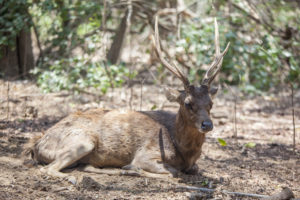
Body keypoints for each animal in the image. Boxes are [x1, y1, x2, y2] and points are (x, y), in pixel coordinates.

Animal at [24, 16, 230, 184]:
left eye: (211, 103)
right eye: (188, 103)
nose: (207, 124)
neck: (183, 150)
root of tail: (37, 144)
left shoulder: (191, 163)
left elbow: (194, 169)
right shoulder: (146, 154)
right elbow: (173, 172)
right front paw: (133, 168)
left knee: (79, 166)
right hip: (82, 141)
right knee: (48, 169)